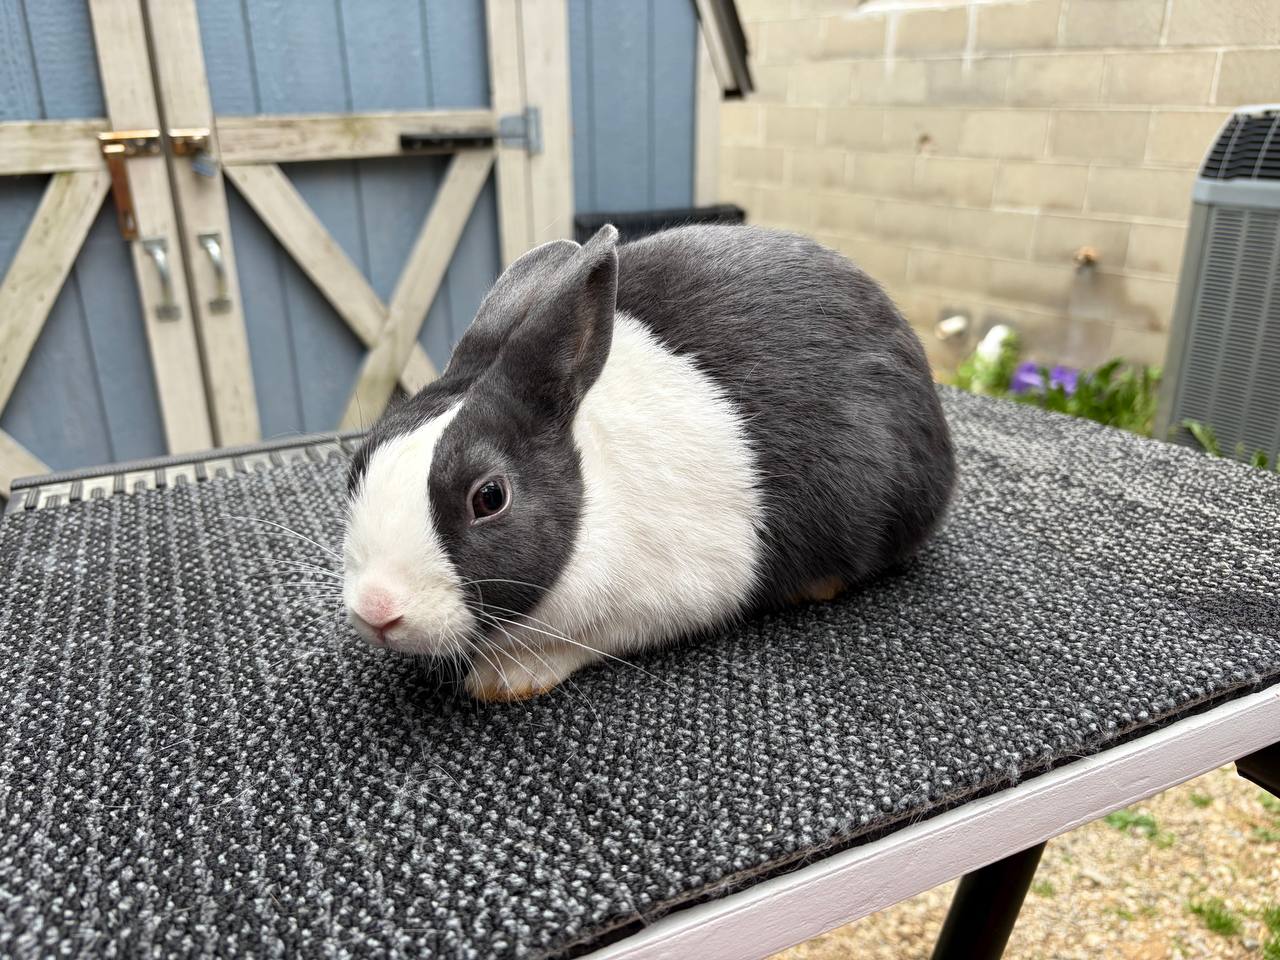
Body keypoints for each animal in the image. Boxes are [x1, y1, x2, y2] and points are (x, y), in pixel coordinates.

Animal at [342, 224, 955, 702]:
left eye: (489, 497)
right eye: (358, 466)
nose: (376, 610)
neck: (595, 485)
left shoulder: (672, 597)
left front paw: (506, 680)